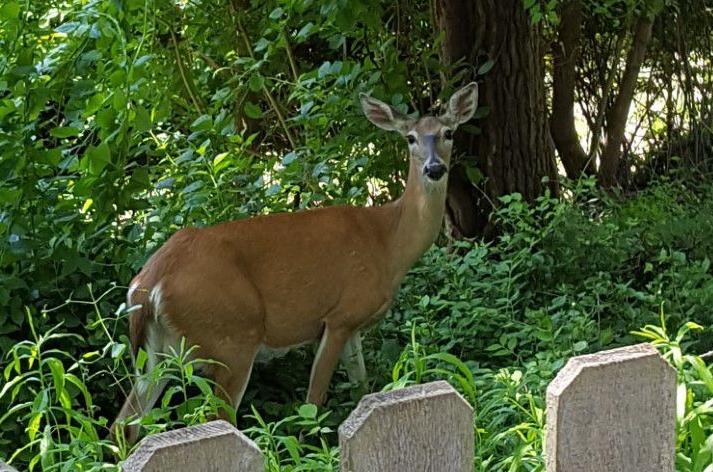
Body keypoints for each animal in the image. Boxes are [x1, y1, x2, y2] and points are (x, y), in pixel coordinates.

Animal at [110, 82, 479, 445]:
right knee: (216, 417)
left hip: (159, 353)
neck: (388, 241)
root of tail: (148, 284)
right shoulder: (338, 317)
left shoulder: (354, 324)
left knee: (124, 423)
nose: (434, 168)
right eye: (410, 138)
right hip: (231, 336)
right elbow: (313, 401)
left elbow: (362, 388)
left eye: (448, 132)